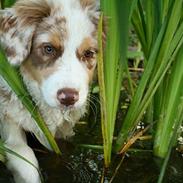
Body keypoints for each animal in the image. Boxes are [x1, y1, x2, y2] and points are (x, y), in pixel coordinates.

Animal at [0, 0, 100, 182]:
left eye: (89, 53)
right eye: (48, 48)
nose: (68, 98)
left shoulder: (64, 130)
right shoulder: (8, 120)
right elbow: (26, 160)